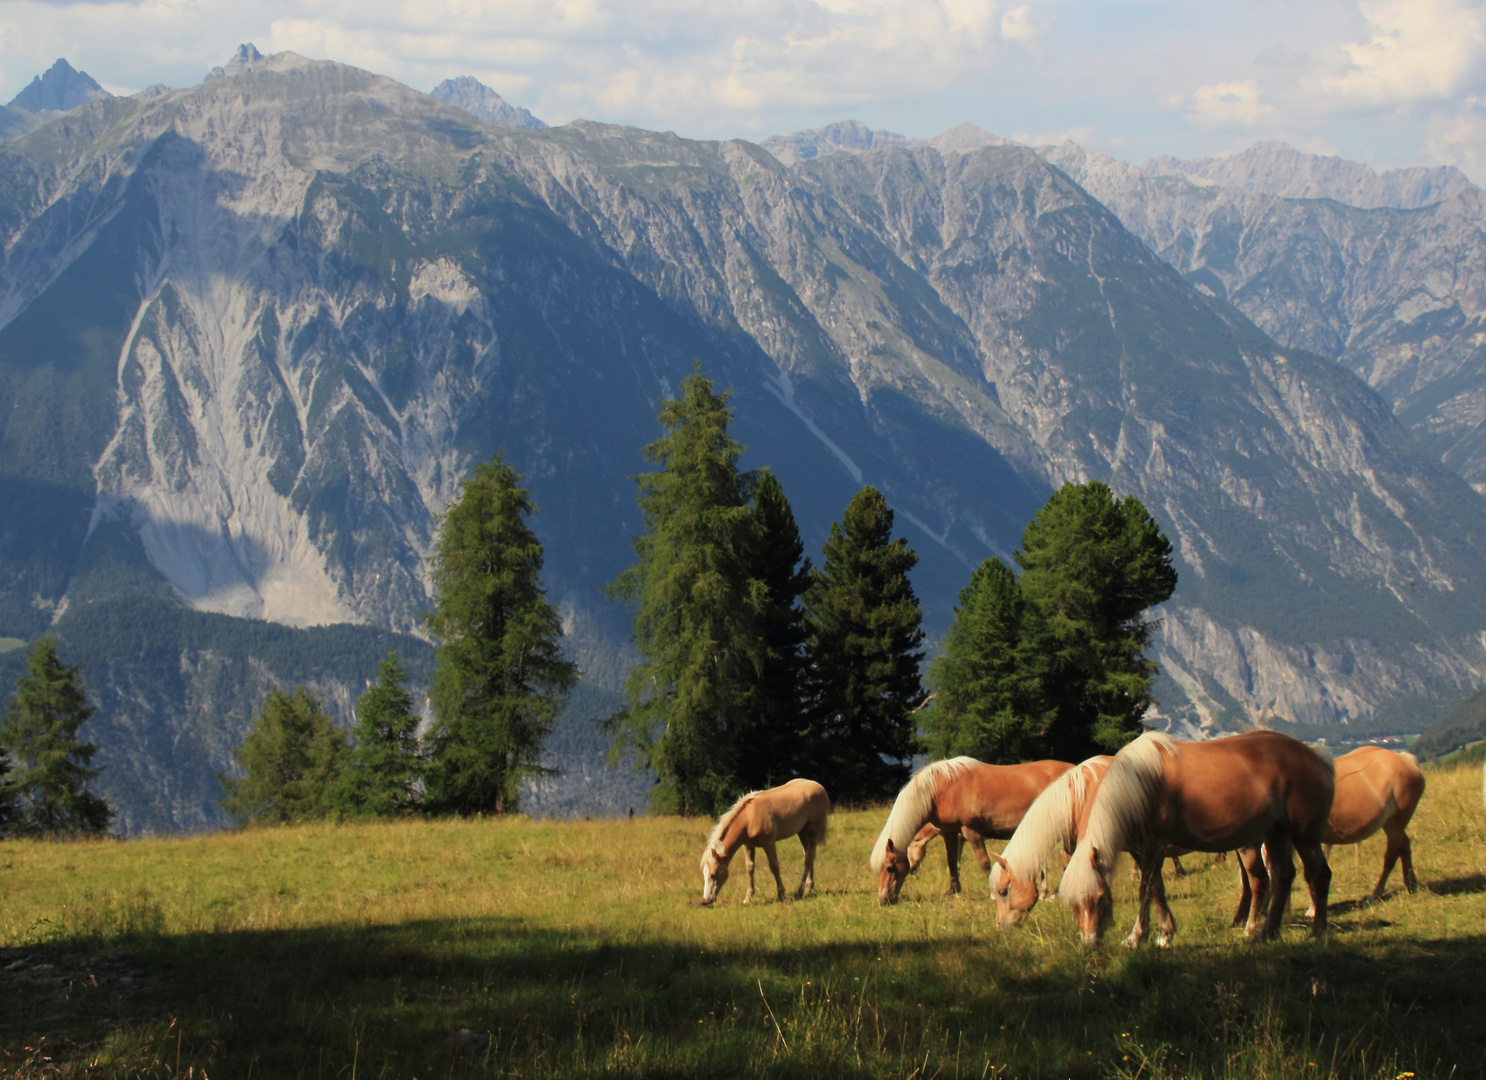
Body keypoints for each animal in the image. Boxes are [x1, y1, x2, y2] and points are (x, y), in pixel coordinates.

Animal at [698, 778, 832, 903]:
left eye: (713, 874)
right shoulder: (747, 845)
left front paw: (781, 894)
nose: (705, 900)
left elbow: (774, 867)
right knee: (809, 855)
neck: (749, 819)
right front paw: (748, 898)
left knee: (808, 858)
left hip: (813, 830)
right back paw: (808, 889)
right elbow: (750, 867)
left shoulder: (769, 843)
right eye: (703, 874)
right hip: (802, 832)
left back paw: (799, 891)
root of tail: (820, 787)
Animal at [867, 757, 1075, 909]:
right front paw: (953, 890)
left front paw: (993, 894)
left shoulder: (971, 832)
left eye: (890, 868)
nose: (884, 900)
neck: (941, 789)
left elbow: (984, 862)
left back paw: (1055, 896)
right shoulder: (950, 832)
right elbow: (952, 862)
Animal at [1058, 730, 1337, 950]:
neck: (1136, 787)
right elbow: (1157, 889)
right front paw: (1165, 934)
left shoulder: (1152, 850)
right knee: (1282, 877)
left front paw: (1136, 938)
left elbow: (1146, 891)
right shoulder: (1143, 852)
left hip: (1305, 836)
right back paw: (1266, 932)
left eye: (1100, 898)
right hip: (1275, 833)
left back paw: (1316, 933)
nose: (1089, 944)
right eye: (1073, 905)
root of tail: (1315, 756)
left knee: (1319, 875)